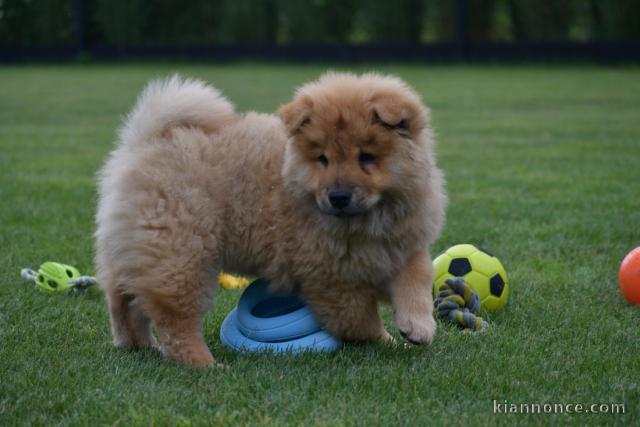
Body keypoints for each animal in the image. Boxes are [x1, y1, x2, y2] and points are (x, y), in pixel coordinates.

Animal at [96, 73, 444, 368]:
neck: (368, 222)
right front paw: (386, 340)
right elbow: (360, 318)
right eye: (323, 159)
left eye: (367, 158)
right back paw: (204, 364)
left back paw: (137, 345)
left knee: (123, 298)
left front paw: (418, 327)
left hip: (136, 249)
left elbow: (416, 278)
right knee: (175, 319)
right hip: (182, 254)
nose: (338, 196)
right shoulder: (331, 279)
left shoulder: (400, 245)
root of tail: (148, 141)